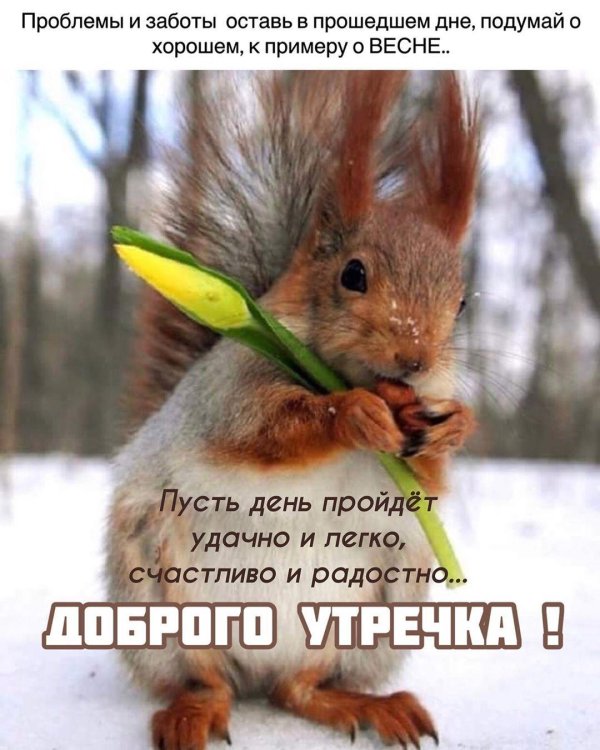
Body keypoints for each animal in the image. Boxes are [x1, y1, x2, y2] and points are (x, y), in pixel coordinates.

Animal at [106, 71, 479, 749]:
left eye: (462, 302)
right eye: (352, 274)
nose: (414, 358)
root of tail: (259, 668)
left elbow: (429, 479)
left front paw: (454, 427)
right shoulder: (227, 394)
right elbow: (265, 429)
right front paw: (354, 413)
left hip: (369, 616)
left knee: (298, 690)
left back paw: (367, 705)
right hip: (157, 597)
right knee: (209, 681)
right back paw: (192, 712)